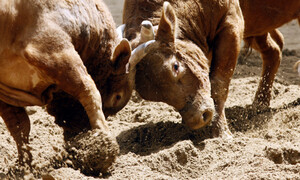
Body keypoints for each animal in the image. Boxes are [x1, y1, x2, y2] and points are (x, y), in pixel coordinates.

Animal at [0, 0, 134, 165]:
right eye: (117, 96)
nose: (78, 132)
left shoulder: (6, 91)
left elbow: (19, 124)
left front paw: (26, 165)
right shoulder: (55, 51)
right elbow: (89, 91)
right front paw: (105, 142)